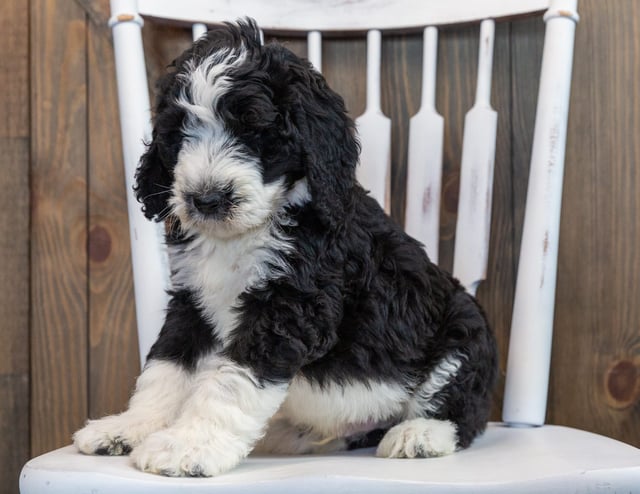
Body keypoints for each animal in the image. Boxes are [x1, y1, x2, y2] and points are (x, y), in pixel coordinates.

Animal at [72, 17, 498, 476]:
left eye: (255, 130)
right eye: (179, 133)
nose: (206, 199)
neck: (247, 232)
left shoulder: (291, 306)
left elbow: (230, 380)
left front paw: (189, 446)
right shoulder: (193, 302)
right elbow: (167, 367)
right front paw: (130, 427)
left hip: (463, 333)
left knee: (463, 411)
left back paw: (419, 434)